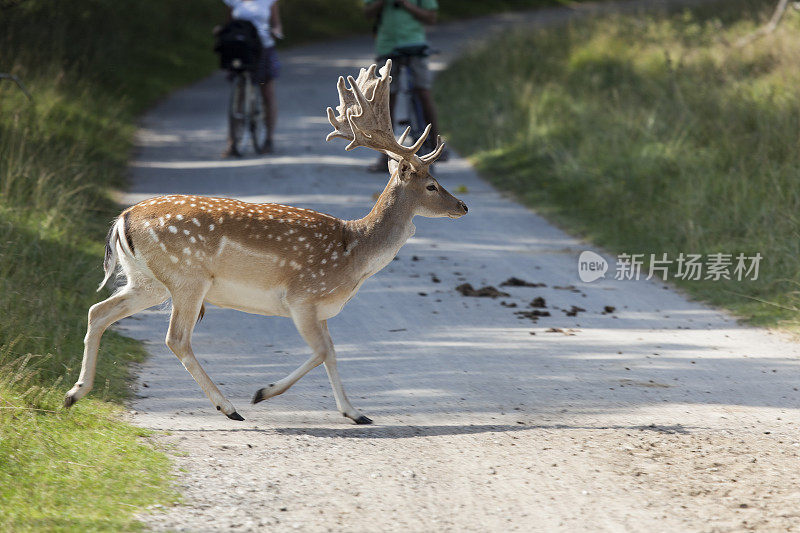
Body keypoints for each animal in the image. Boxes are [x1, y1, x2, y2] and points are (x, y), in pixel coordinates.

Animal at [65, 60, 466, 422]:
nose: (463, 206)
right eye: (431, 185)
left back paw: (75, 393)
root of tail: (121, 220)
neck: (353, 253)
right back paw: (229, 408)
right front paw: (266, 393)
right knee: (175, 338)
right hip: (187, 278)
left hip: (148, 282)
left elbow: (331, 352)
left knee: (98, 311)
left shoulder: (318, 308)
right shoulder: (303, 295)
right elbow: (324, 351)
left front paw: (353, 412)